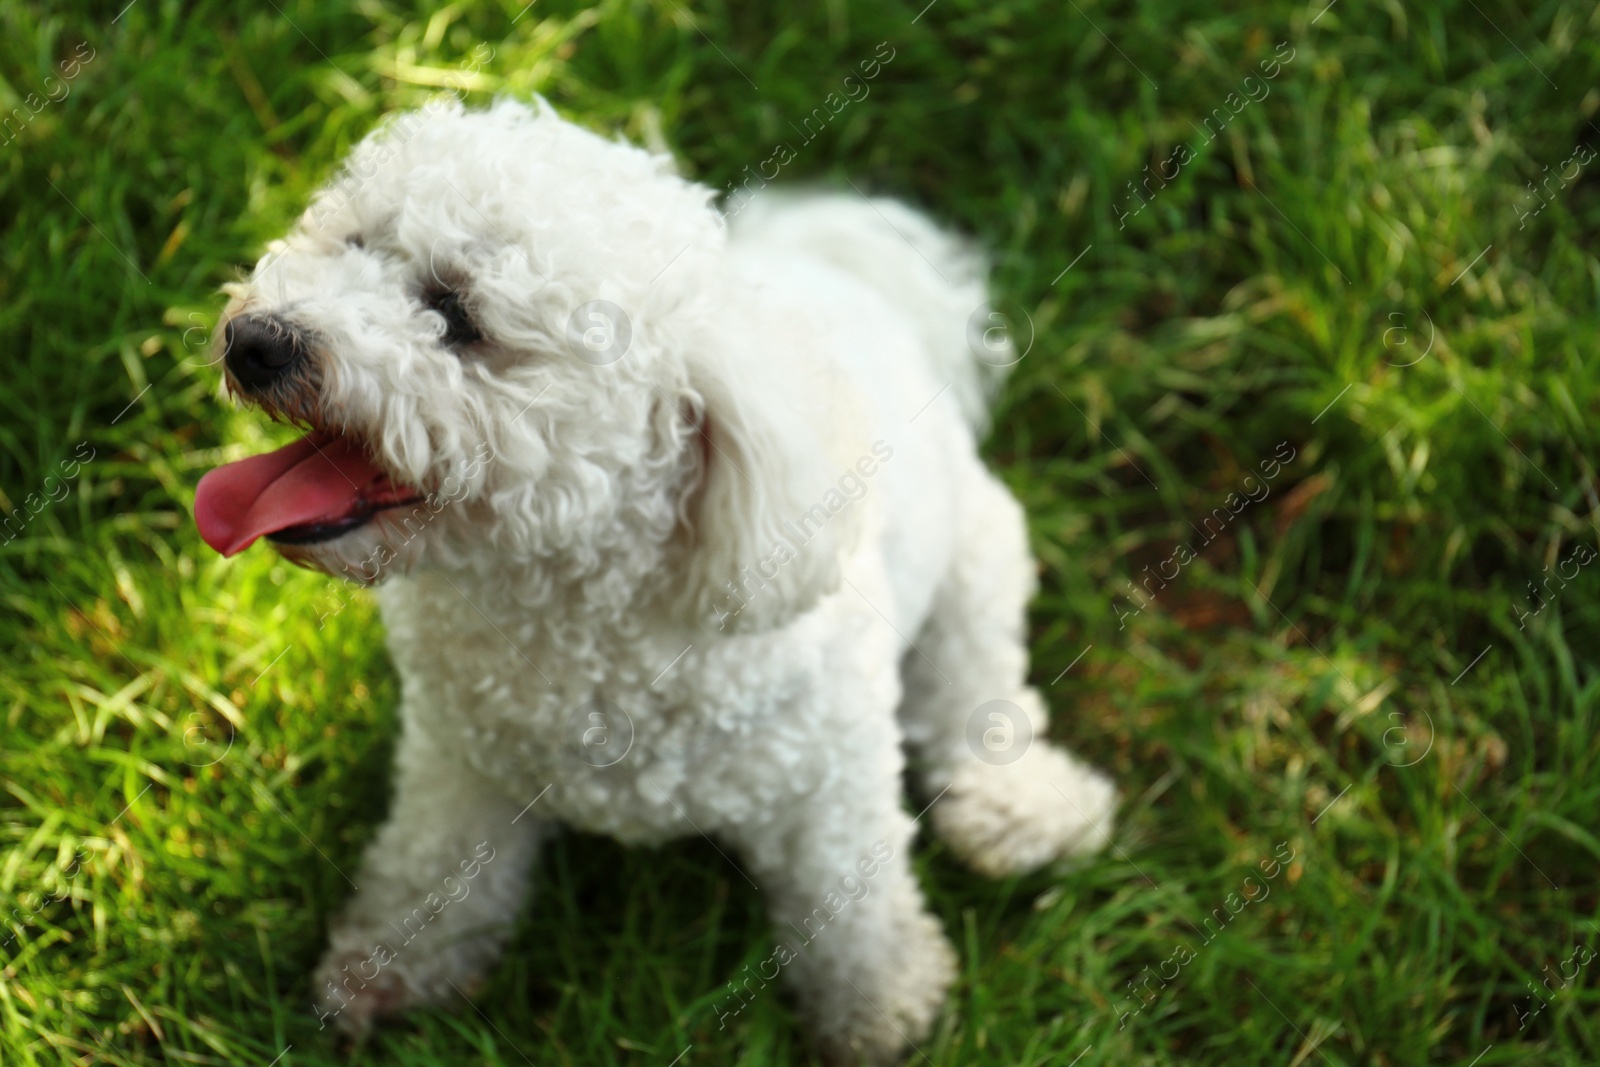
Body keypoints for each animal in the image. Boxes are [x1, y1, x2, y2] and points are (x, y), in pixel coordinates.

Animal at [196, 99, 1113, 1067]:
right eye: (353, 241)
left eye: (456, 313)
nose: (256, 341)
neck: (578, 607)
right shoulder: (458, 762)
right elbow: (431, 868)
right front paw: (389, 968)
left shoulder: (829, 782)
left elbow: (852, 901)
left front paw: (881, 1003)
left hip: (979, 561)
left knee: (976, 692)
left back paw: (1021, 807)